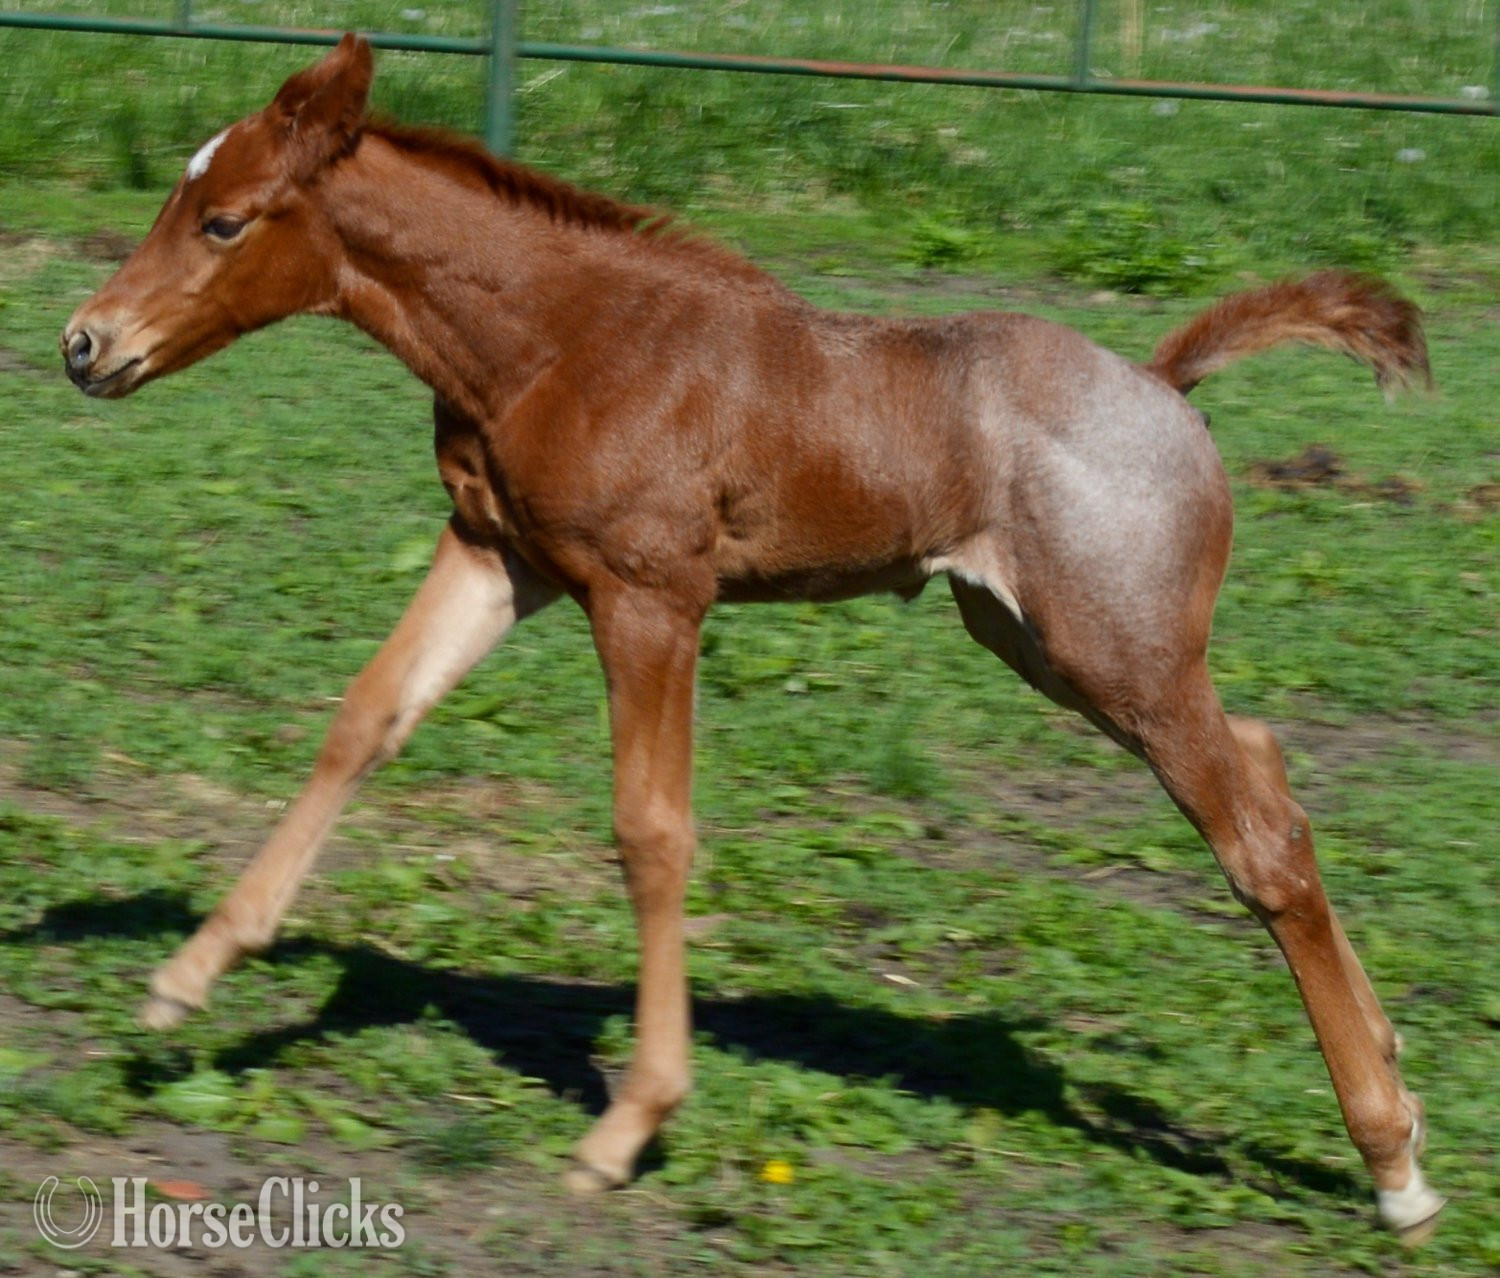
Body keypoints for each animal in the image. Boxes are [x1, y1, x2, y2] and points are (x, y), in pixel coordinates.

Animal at [60, 34, 1442, 1238]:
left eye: (224, 221)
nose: (84, 344)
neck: (558, 338)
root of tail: (1164, 385)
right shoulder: (500, 556)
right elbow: (366, 718)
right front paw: (190, 975)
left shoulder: (652, 595)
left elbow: (651, 831)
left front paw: (629, 1125)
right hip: (1048, 646)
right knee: (1266, 768)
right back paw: (1394, 1080)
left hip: (1121, 656)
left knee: (1261, 842)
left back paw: (1393, 1168)